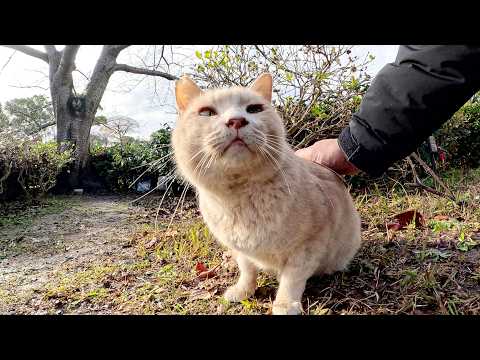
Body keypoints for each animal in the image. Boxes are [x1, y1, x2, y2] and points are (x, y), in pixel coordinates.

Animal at [171, 73, 362, 316]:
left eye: (253, 109)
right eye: (207, 113)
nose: (236, 120)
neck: (241, 199)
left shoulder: (309, 245)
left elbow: (292, 278)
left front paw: (285, 304)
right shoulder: (241, 251)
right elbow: (247, 270)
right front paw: (243, 290)